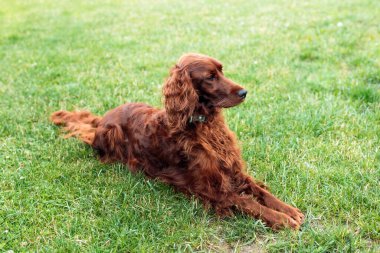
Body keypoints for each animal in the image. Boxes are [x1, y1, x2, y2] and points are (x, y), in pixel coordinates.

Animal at [51, 52, 306, 229]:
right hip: (113, 135)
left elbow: (262, 192)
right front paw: (282, 220)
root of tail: (103, 119)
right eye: (210, 77)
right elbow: (247, 201)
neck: (203, 126)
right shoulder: (209, 188)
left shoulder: (232, 170)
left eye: (222, 71)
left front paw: (288, 210)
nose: (244, 92)